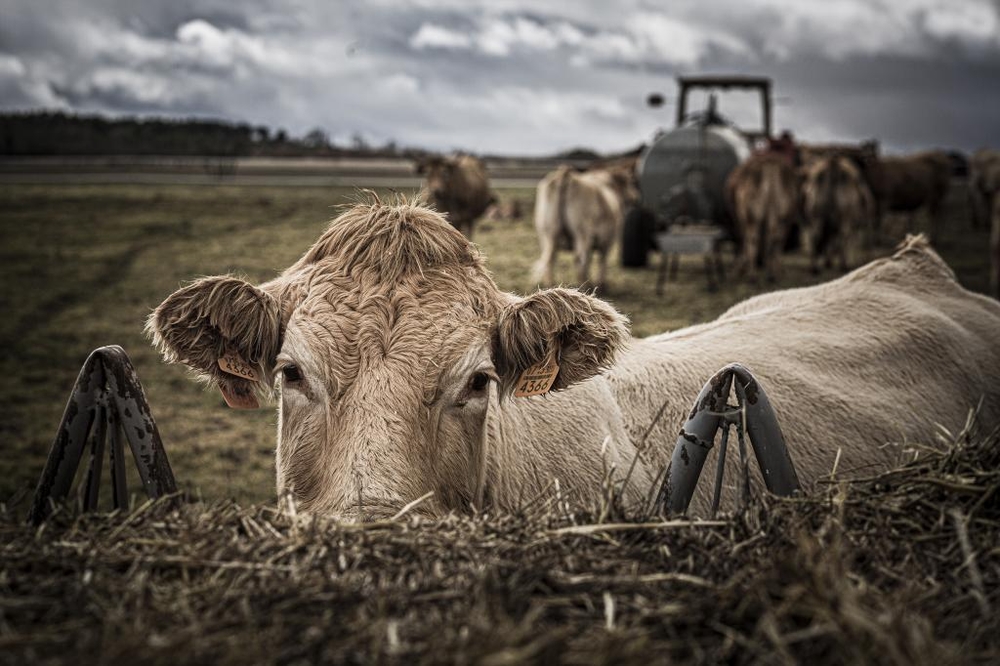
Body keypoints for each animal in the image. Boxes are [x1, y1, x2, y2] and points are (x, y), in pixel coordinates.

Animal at [536, 160, 636, 290]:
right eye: (631, 182)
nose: (635, 197)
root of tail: (567, 174)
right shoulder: (608, 240)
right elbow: (602, 260)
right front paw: (602, 283)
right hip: (582, 233)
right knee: (580, 258)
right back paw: (585, 286)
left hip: (547, 234)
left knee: (550, 259)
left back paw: (551, 285)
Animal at [728, 151, 796, 280]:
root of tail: (770, 164)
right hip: (783, 215)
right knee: (775, 239)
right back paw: (772, 273)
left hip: (752, 216)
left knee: (754, 239)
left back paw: (753, 274)